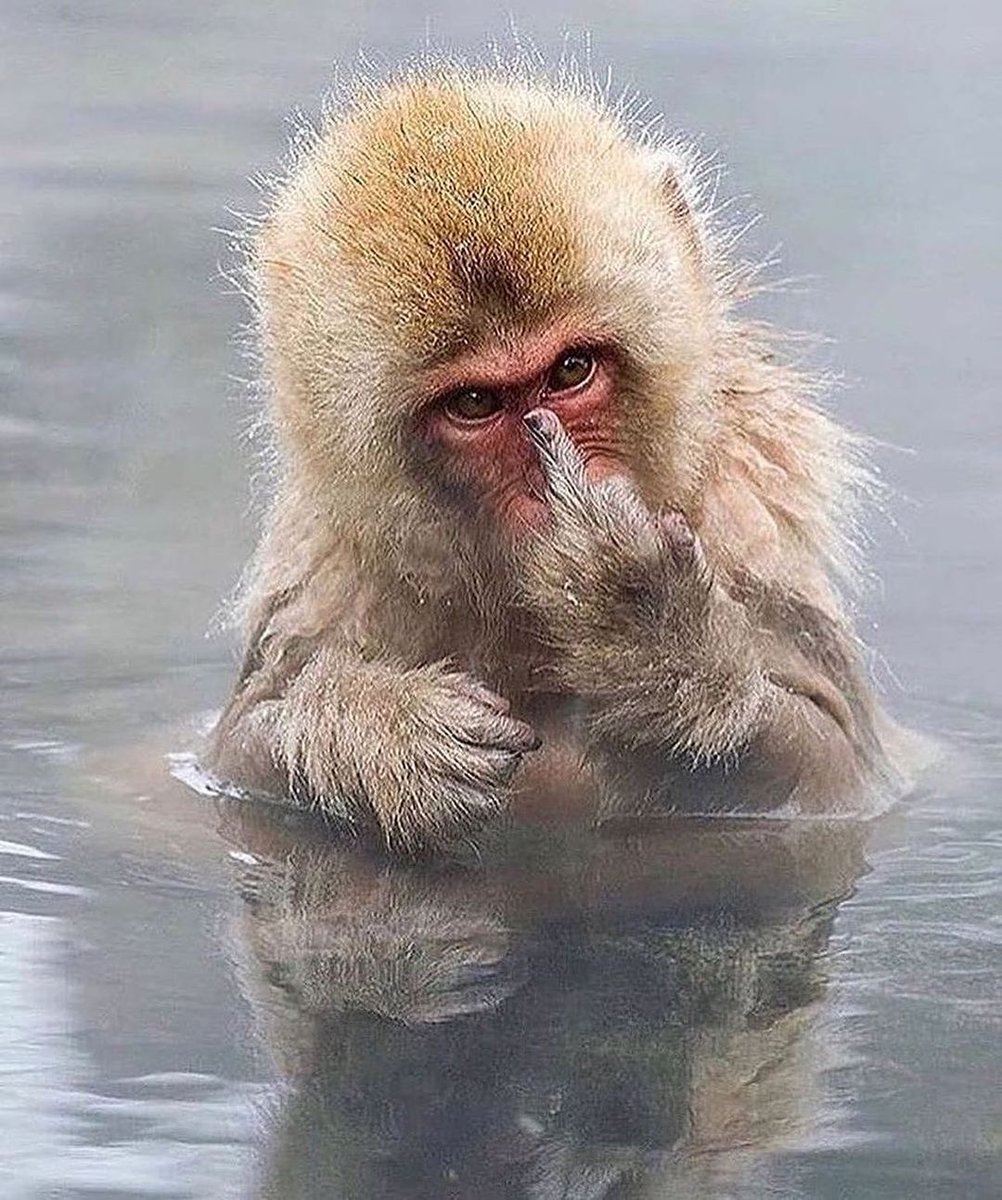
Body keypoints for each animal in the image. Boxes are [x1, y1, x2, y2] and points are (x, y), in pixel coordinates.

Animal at [206, 66, 910, 853]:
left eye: (572, 369)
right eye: (474, 403)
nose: (554, 486)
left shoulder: (751, 524)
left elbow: (840, 766)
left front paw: (646, 626)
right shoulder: (329, 577)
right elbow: (236, 748)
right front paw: (378, 728)